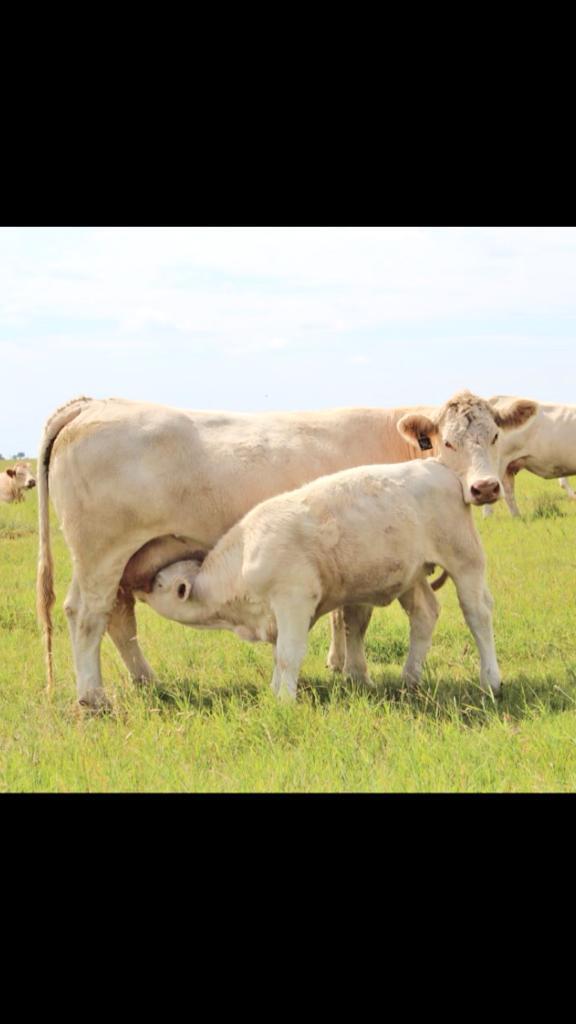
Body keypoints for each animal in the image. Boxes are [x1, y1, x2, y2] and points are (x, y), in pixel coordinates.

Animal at [36, 391, 537, 709]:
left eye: (495, 436)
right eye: (446, 441)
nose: (485, 487)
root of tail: (92, 405)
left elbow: (347, 619)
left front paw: (343, 667)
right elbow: (354, 618)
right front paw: (354, 672)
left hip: (127, 561)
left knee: (119, 620)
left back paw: (145, 680)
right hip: (101, 555)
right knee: (87, 615)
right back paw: (93, 696)